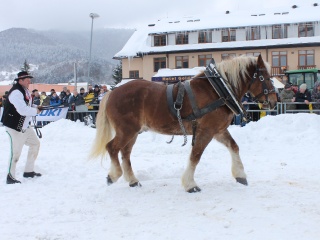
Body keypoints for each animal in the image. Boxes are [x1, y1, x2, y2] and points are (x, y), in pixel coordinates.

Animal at [90, 55, 278, 192]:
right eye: (265, 77)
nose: (274, 100)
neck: (219, 90)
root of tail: (113, 92)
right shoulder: (206, 131)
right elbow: (195, 155)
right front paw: (190, 184)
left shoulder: (218, 131)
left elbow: (234, 147)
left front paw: (240, 176)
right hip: (126, 130)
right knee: (112, 148)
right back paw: (114, 175)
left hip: (133, 132)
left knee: (125, 153)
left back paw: (133, 181)